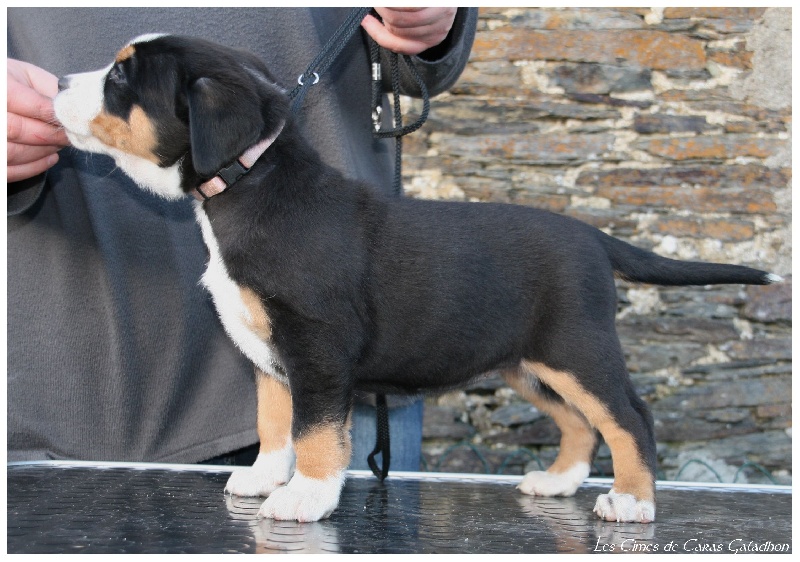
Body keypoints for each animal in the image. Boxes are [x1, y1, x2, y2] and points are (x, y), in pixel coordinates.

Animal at [54, 34, 780, 523]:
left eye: (121, 75)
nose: (57, 82)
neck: (251, 187)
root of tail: (592, 237)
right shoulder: (271, 357)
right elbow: (274, 424)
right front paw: (264, 478)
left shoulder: (317, 349)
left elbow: (317, 433)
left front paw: (306, 496)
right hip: (527, 364)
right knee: (579, 423)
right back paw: (557, 483)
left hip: (578, 348)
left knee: (628, 416)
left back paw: (630, 500)